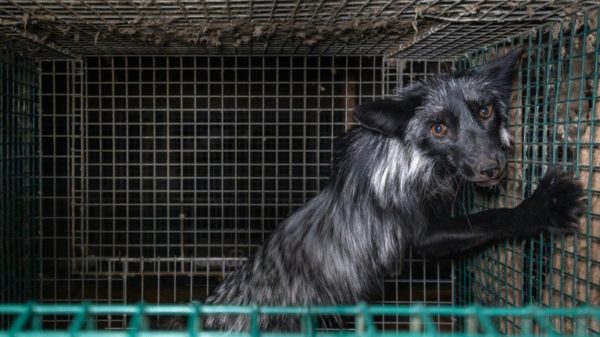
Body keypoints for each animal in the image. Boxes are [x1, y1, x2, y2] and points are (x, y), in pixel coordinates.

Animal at [166, 48, 584, 330]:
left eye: (485, 111)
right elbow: (492, 219)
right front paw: (542, 207)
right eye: (439, 128)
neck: (409, 157)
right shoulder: (420, 234)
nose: (491, 168)